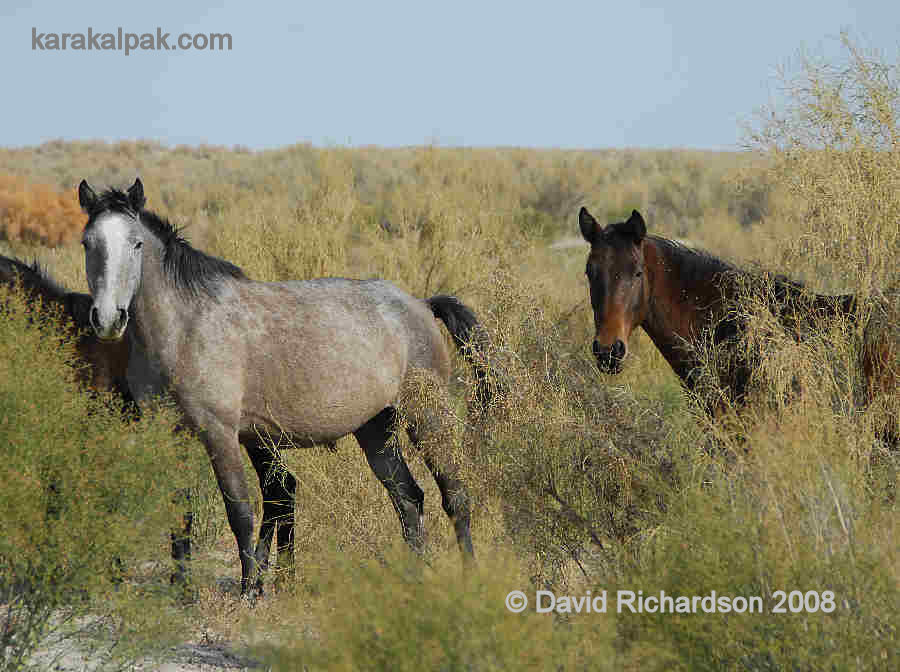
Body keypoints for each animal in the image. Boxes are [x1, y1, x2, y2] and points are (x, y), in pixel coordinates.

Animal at [78, 177, 496, 592]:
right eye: (87, 243)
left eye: (136, 243)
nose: (108, 319)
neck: (184, 326)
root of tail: (421, 305)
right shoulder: (171, 433)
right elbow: (180, 511)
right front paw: (183, 588)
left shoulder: (220, 434)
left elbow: (240, 512)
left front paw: (249, 589)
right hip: (376, 430)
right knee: (408, 498)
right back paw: (413, 579)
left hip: (428, 416)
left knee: (454, 495)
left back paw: (470, 576)